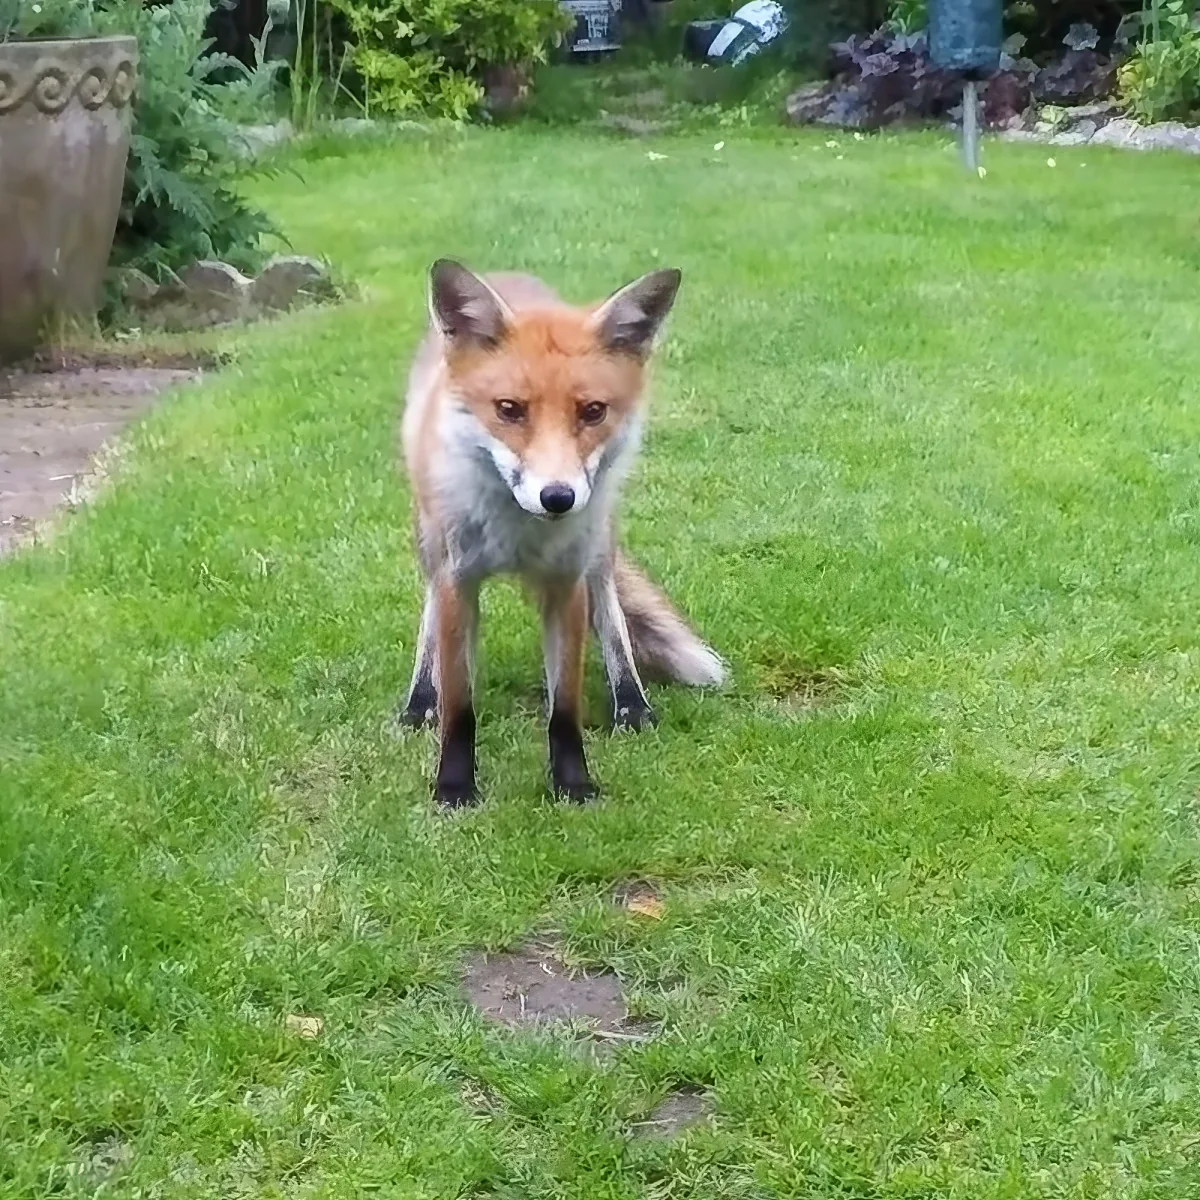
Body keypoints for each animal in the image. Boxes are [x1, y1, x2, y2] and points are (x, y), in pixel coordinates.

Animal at [398, 260, 725, 807]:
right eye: (509, 409)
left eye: (592, 411)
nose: (558, 497)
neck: (518, 536)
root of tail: (507, 273)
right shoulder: (457, 584)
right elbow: (460, 708)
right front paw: (454, 787)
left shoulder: (566, 585)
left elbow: (565, 709)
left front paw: (573, 784)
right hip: (430, 539)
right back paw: (420, 699)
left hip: (600, 538)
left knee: (612, 608)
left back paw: (631, 703)